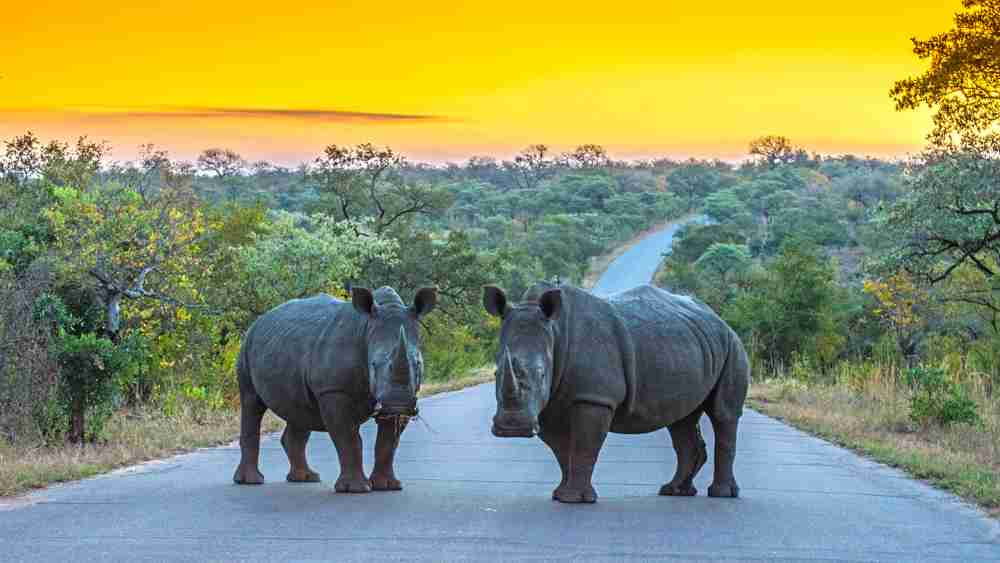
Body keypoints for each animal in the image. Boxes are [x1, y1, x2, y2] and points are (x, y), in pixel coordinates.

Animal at [233, 286, 437, 493]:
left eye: (418, 364)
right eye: (373, 364)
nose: (398, 404)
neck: (366, 330)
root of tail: (259, 320)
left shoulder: (405, 396)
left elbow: (388, 443)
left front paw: (387, 486)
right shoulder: (333, 390)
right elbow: (349, 438)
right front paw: (355, 489)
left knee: (299, 411)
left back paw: (306, 478)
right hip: (246, 347)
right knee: (251, 402)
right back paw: (251, 481)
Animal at [483, 282, 749, 503]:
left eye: (541, 375)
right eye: (496, 373)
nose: (512, 428)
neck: (555, 333)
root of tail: (719, 319)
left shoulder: (595, 398)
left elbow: (584, 445)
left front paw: (575, 499)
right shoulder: (549, 405)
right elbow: (561, 450)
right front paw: (560, 495)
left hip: (733, 344)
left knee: (723, 414)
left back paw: (722, 494)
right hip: (690, 346)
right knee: (681, 420)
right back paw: (674, 491)